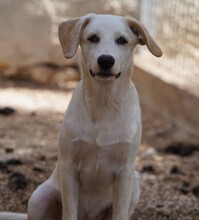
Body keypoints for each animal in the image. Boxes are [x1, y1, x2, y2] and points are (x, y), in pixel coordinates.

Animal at [0, 13, 162, 220]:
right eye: (92, 38)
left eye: (122, 40)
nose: (106, 60)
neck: (103, 104)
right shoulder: (69, 166)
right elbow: (69, 211)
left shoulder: (124, 172)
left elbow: (119, 212)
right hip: (40, 197)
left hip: (135, 185)